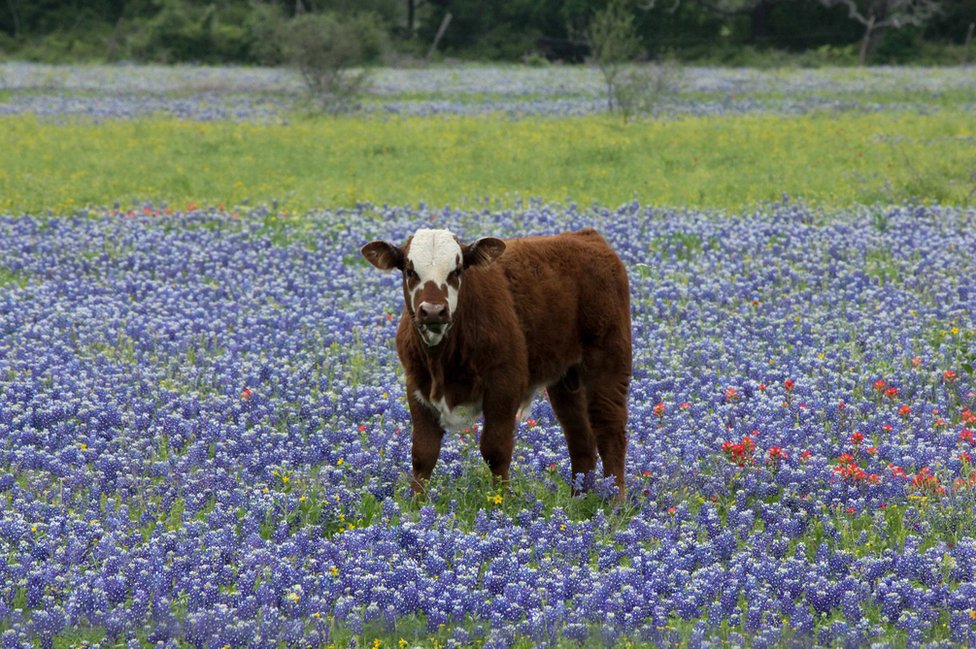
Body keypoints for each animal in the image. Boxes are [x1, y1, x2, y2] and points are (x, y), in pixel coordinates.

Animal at [360, 227, 632, 496]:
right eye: (410, 271)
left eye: (456, 271)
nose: (434, 311)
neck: (442, 358)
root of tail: (588, 236)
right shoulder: (417, 386)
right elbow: (423, 453)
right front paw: (417, 505)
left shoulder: (504, 384)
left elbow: (495, 449)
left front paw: (500, 500)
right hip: (566, 377)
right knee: (580, 438)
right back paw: (578, 499)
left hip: (609, 361)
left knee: (610, 430)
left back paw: (614, 500)